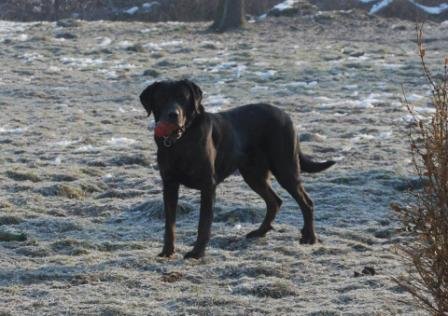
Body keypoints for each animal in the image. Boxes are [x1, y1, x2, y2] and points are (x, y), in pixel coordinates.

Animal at [138, 79, 334, 260]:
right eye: (162, 97)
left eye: (183, 97)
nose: (173, 115)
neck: (180, 140)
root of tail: (286, 114)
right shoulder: (169, 184)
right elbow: (169, 224)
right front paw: (167, 251)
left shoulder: (208, 185)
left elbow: (204, 223)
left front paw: (197, 253)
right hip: (253, 175)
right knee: (275, 201)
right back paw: (260, 232)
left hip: (285, 168)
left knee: (306, 202)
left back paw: (310, 237)